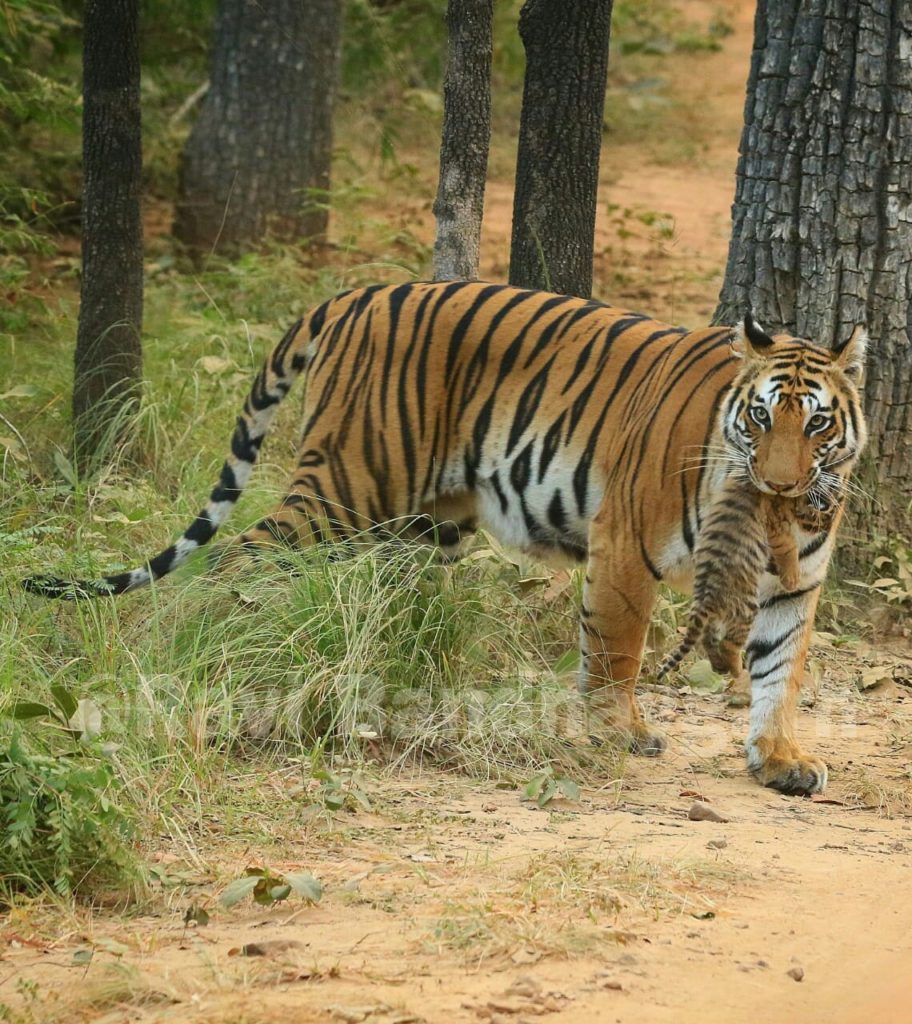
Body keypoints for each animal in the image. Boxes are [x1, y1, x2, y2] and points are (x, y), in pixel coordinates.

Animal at [23, 282, 872, 798]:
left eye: (816, 424)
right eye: (761, 417)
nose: (783, 488)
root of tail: (359, 293)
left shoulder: (798, 582)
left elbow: (780, 671)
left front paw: (779, 759)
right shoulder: (625, 542)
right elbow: (618, 650)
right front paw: (618, 733)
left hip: (419, 523)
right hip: (346, 487)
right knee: (235, 558)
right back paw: (206, 647)